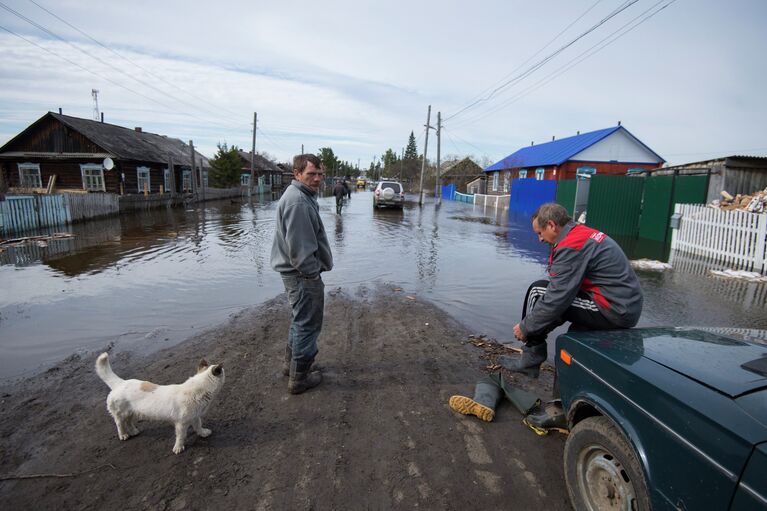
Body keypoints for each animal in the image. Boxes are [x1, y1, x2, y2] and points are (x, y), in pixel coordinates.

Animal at [94, 352, 224, 456]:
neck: (199, 388)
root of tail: (120, 383)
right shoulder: (181, 424)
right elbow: (181, 436)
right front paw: (178, 448)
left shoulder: (195, 417)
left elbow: (198, 426)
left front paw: (203, 433)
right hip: (121, 414)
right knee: (120, 424)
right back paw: (123, 435)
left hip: (131, 412)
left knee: (129, 422)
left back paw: (133, 431)